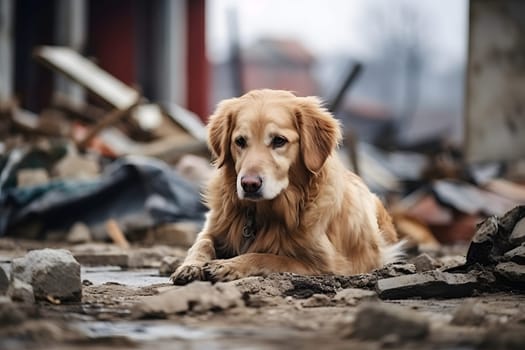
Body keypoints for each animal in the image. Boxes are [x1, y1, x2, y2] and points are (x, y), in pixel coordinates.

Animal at [170, 89, 400, 284]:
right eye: (240, 141)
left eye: (279, 141)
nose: (249, 184)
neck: (263, 212)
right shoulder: (214, 226)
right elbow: (201, 243)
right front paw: (190, 266)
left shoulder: (328, 265)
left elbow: (266, 256)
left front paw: (228, 265)